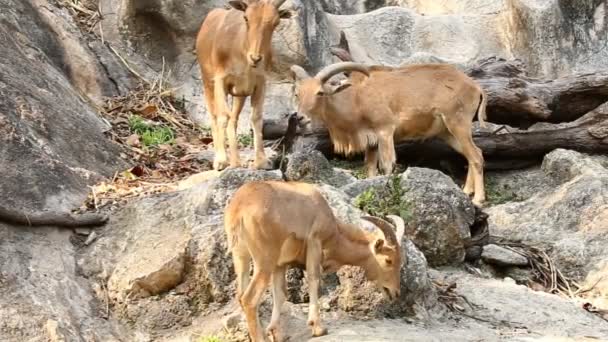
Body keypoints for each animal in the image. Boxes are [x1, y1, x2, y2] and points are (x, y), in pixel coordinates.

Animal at [194, 0, 290, 171]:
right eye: (246, 18)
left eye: (276, 22)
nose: (255, 58)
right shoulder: (220, 80)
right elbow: (222, 117)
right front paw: (221, 161)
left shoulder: (259, 83)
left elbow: (256, 118)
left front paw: (261, 161)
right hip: (207, 81)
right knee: (214, 116)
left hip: (240, 94)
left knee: (234, 119)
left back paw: (237, 161)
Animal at [223, 180, 404, 340]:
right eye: (388, 260)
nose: (395, 292)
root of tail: (239, 209)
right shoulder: (315, 244)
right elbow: (314, 279)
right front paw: (318, 328)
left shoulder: (280, 265)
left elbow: (280, 294)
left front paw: (277, 334)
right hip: (264, 261)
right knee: (249, 298)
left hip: (241, 257)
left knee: (240, 295)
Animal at [290, 61, 490, 206]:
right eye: (297, 94)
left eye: (320, 92)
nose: (300, 118)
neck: (357, 98)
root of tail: (475, 86)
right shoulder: (371, 141)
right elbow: (370, 168)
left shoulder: (385, 131)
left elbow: (386, 165)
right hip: (448, 133)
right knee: (474, 154)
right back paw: (466, 192)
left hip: (458, 123)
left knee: (476, 156)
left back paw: (478, 199)